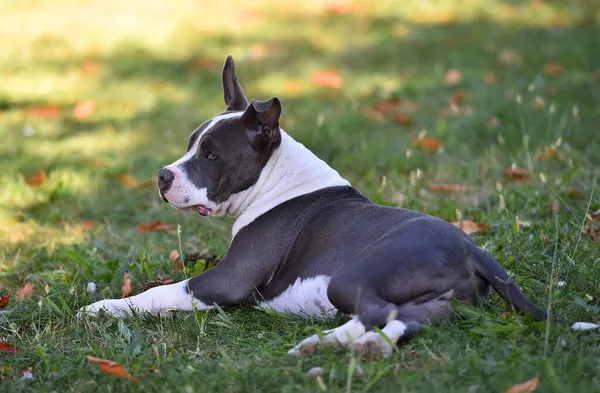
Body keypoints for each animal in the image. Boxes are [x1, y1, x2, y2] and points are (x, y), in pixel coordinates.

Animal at [79, 54, 564, 356]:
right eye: (191, 144)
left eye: (212, 155)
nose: (162, 176)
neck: (276, 179)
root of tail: (473, 249)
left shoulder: (229, 281)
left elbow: (162, 291)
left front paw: (102, 308)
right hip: (443, 300)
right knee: (408, 316)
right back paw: (357, 345)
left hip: (352, 276)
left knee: (378, 311)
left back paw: (329, 342)